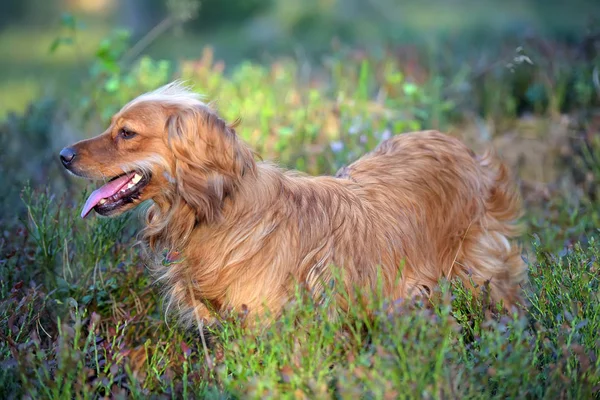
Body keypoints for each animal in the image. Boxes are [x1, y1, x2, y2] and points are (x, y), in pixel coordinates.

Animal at [61, 82, 528, 328]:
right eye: (113, 126)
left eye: (126, 133)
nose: (62, 155)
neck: (219, 212)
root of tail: (462, 149)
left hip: (478, 274)